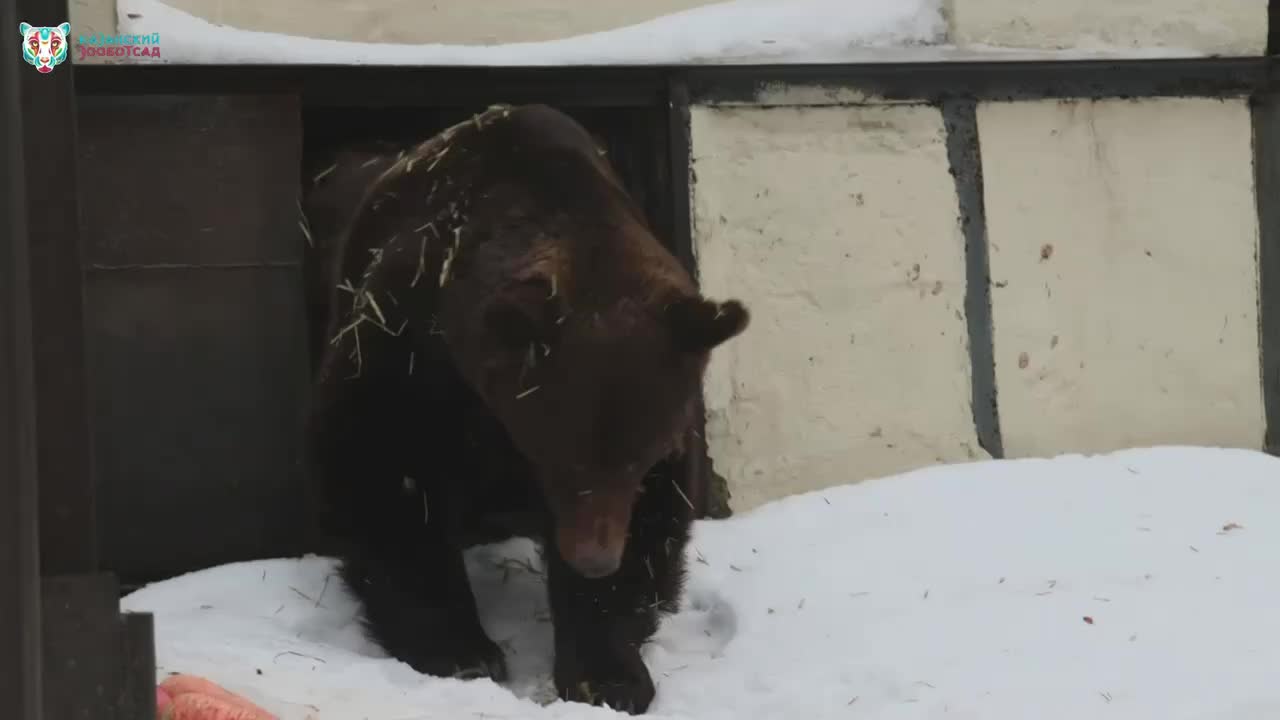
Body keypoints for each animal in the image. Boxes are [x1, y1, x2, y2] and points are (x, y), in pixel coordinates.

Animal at [307, 102, 747, 712]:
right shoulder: (405, 343)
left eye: (637, 458)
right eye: (559, 458)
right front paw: (460, 650)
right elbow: (385, 474)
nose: (593, 557)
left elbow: (653, 522)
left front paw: (607, 673)